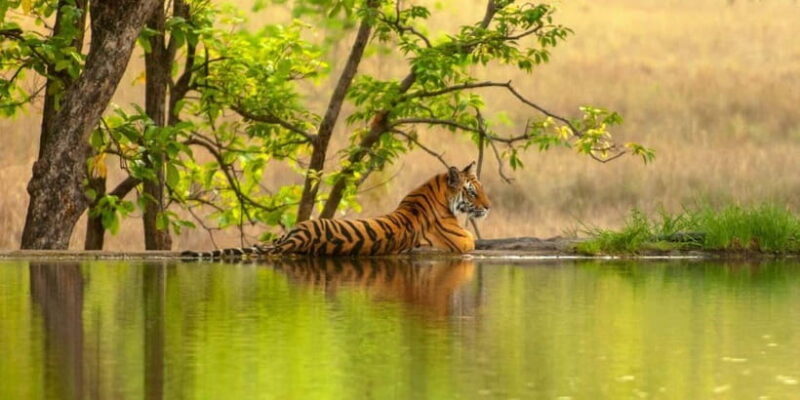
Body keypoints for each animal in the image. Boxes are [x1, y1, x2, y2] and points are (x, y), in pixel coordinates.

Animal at [181, 161, 491, 259]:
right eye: (472, 191)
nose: (488, 207)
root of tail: (295, 239)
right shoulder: (463, 241)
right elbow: (473, 240)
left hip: (287, 233)